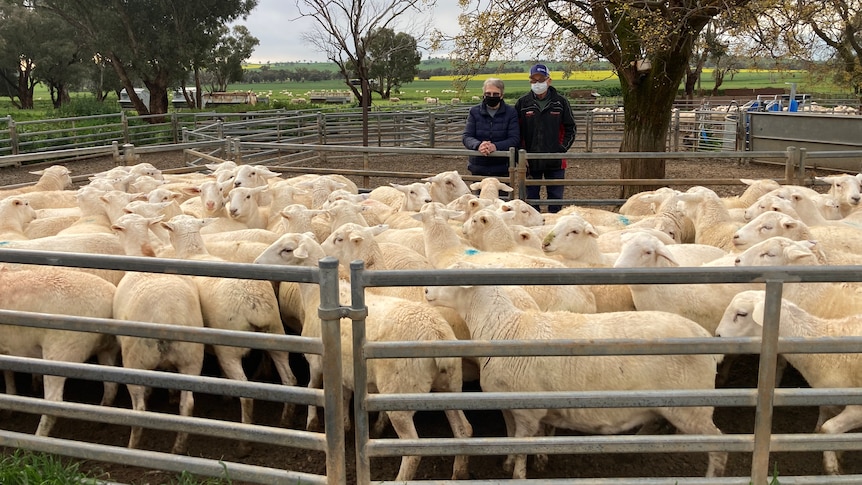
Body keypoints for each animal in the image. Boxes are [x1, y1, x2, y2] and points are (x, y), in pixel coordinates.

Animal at [0, 264, 120, 438]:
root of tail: (112, 296)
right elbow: (8, 372)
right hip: (108, 349)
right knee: (111, 387)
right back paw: (100, 422)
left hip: (61, 351)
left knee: (54, 403)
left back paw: (37, 439)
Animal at [162, 215, 300, 454]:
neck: (193, 254)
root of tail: (253, 303)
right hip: (276, 334)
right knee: (289, 379)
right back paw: (286, 420)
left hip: (230, 350)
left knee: (246, 392)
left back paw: (244, 443)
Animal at [253, 232, 476, 480]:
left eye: (287, 250)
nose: (256, 264)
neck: (314, 295)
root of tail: (435, 332)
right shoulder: (346, 370)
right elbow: (344, 397)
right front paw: (345, 426)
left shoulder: (317, 361)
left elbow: (313, 387)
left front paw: (312, 422)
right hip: (450, 385)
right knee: (464, 430)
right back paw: (459, 473)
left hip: (401, 395)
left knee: (413, 448)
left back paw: (400, 480)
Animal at [426, 280, 728, 480]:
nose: (427, 291)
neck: (504, 329)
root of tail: (699, 332)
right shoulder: (509, 405)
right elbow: (512, 437)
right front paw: (510, 463)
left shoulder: (526, 409)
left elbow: (523, 444)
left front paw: (518, 473)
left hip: (693, 407)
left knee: (718, 444)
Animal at [720, 288, 862, 472]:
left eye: (741, 314)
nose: (718, 335)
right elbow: (825, 419)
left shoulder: (857, 408)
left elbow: (828, 429)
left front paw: (831, 466)